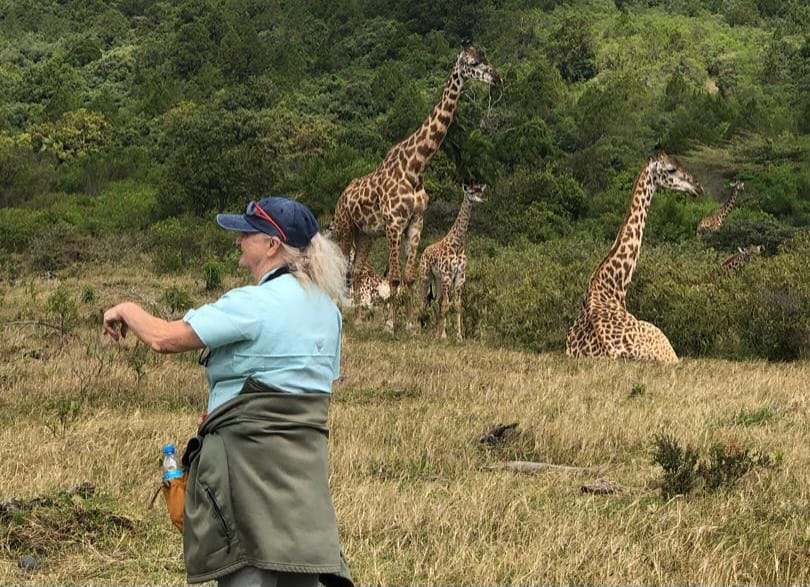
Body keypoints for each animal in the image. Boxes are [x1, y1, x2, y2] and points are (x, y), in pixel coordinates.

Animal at [331, 44, 500, 304]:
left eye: (485, 57)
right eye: (473, 63)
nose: (496, 77)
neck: (415, 167)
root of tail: (341, 198)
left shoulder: (416, 223)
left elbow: (409, 279)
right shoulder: (393, 224)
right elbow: (394, 279)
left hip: (365, 234)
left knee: (357, 272)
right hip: (344, 228)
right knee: (343, 274)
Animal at [418, 182, 487, 341]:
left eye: (480, 190)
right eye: (471, 192)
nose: (483, 197)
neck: (457, 245)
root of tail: (424, 251)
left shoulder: (460, 277)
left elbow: (457, 305)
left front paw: (458, 335)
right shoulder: (447, 276)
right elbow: (446, 305)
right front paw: (444, 335)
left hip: (437, 280)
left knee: (436, 301)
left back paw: (435, 332)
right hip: (426, 277)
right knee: (423, 300)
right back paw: (418, 330)